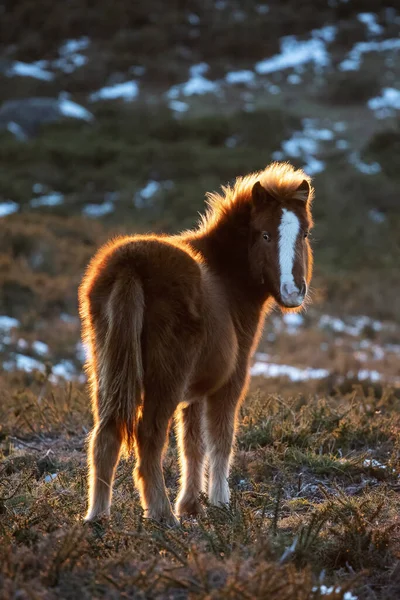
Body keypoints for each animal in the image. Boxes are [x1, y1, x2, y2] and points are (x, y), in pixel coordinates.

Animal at [79, 162, 314, 524]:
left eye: (304, 234)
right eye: (265, 234)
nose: (292, 292)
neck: (227, 280)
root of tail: (132, 265)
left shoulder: (196, 391)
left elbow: (191, 443)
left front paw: (190, 504)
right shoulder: (230, 380)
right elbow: (220, 438)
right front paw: (219, 502)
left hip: (106, 369)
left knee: (105, 434)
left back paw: (98, 516)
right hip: (165, 378)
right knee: (149, 436)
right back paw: (161, 515)